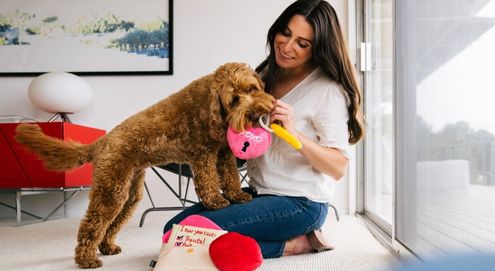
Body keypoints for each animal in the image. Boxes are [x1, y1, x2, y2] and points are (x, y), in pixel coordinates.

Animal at [14, 62, 276, 268]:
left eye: (252, 89)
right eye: (234, 99)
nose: (255, 112)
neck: (211, 103)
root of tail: (101, 143)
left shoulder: (224, 153)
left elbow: (231, 176)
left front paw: (237, 196)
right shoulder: (202, 154)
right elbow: (208, 180)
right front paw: (216, 201)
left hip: (129, 192)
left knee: (112, 223)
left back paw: (107, 247)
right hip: (111, 189)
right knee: (92, 223)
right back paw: (86, 259)